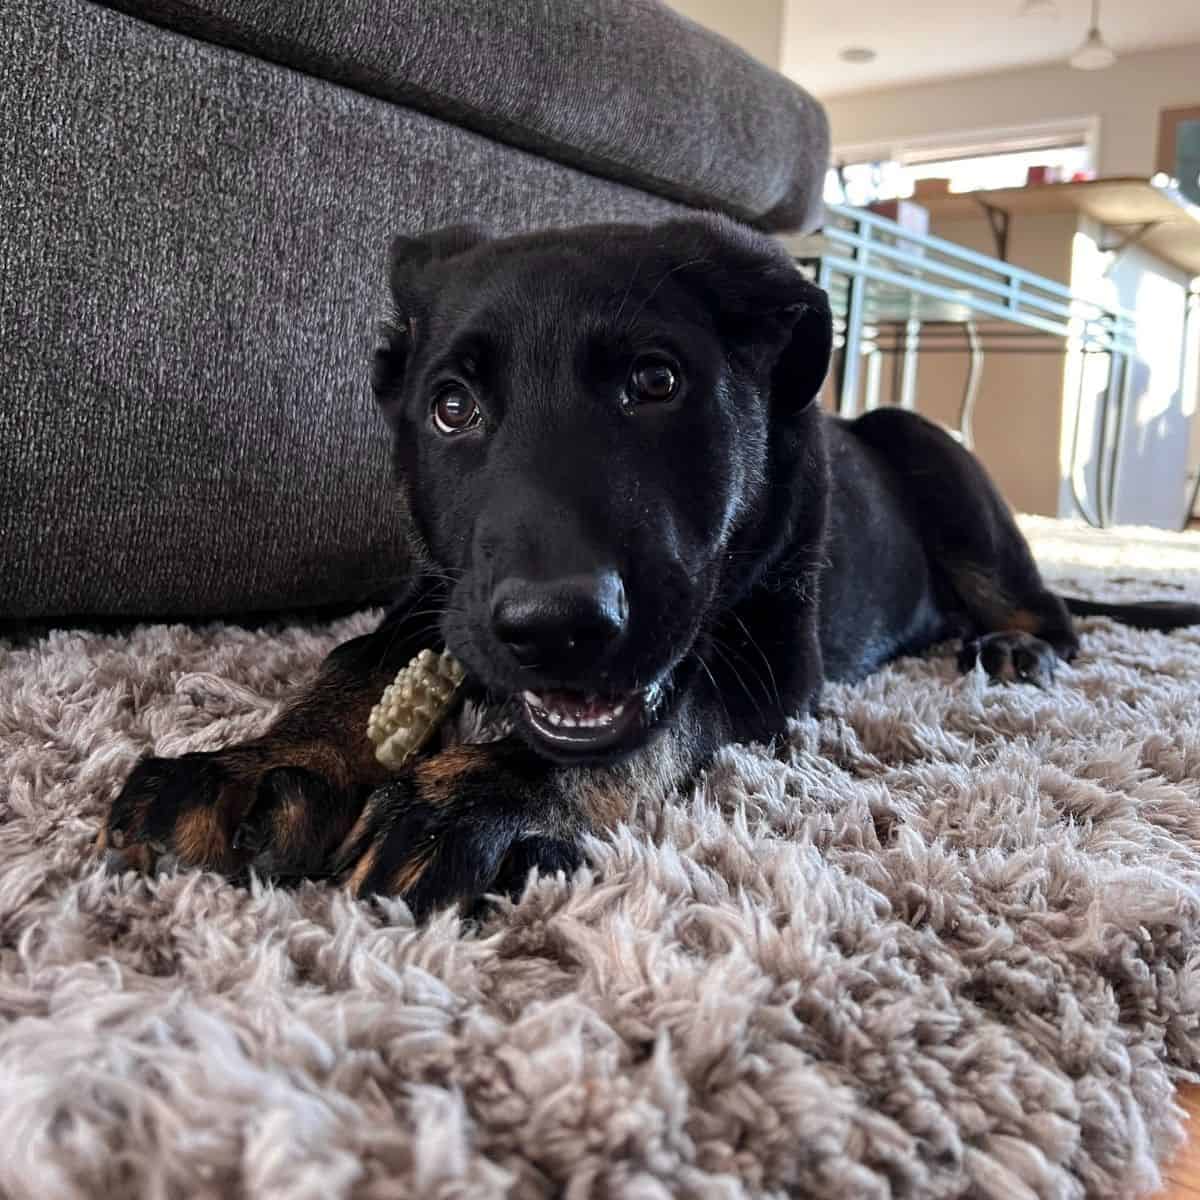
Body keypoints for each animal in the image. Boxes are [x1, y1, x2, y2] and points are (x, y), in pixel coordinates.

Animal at [100, 216, 1200, 912]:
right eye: (452, 407)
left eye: (657, 383)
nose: (557, 630)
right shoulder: (438, 596)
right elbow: (351, 667)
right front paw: (264, 763)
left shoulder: (773, 661)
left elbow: (659, 720)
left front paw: (474, 798)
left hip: (931, 453)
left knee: (1056, 612)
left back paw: (1016, 651)